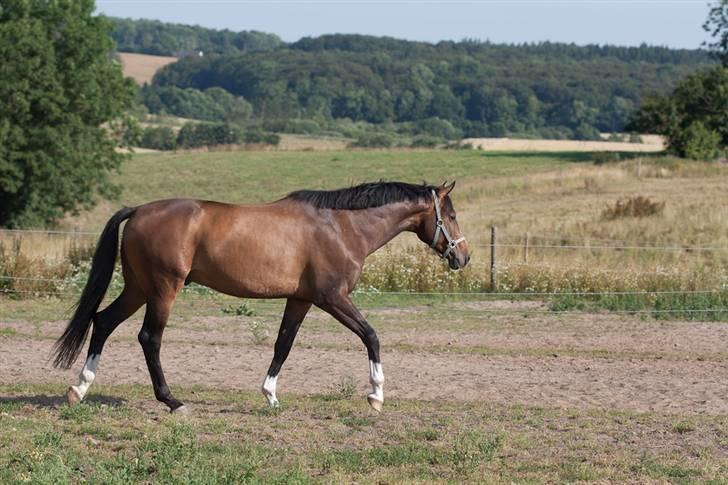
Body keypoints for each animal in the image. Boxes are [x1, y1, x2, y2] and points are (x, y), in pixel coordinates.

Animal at [52, 182, 472, 412]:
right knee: (148, 338)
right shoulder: (332, 297)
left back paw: (79, 388)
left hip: (139, 288)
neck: (342, 226)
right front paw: (376, 396)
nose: (463, 257)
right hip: (162, 289)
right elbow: (371, 336)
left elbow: (282, 344)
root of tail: (139, 210)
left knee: (103, 322)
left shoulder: (301, 300)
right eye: (451, 215)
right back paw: (172, 401)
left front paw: (270, 395)